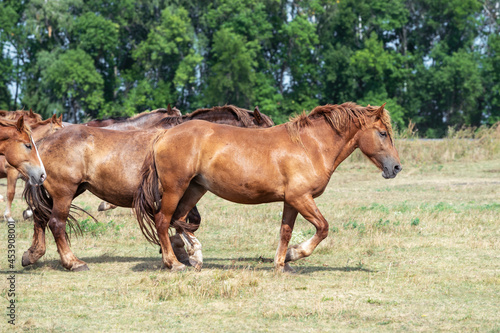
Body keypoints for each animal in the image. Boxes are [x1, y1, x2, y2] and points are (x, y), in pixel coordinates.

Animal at [21, 105, 274, 272]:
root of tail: (43, 142)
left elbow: (184, 221)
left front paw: (180, 251)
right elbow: (183, 220)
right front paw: (180, 252)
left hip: (70, 191)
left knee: (41, 218)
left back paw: (32, 254)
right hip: (65, 192)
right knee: (56, 223)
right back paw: (73, 262)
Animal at [135, 102, 404, 272]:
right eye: (382, 133)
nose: (396, 167)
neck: (309, 146)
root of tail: (163, 136)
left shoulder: (292, 201)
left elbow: (285, 232)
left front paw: (281, 263)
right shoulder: (301, 198)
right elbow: (323, 228)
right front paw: (294, 254)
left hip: (195, 188)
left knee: (180, 220)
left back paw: (195, 257)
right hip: (175, 188)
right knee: (163, 220)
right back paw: (175, 263)